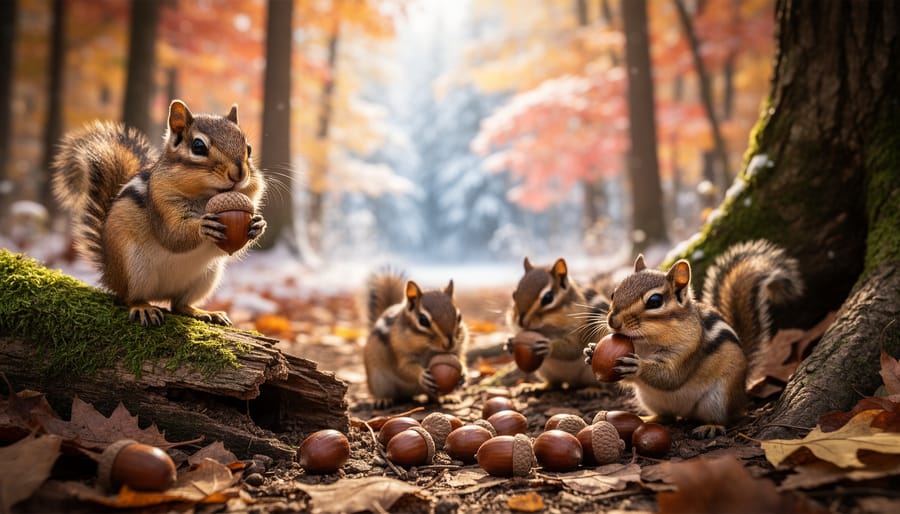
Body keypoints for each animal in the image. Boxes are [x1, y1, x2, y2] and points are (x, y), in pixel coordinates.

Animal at [51, 100, 266, 327]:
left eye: (249, 148)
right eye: (198, 146)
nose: (239, 173)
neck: (206, 196)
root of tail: (109, 274)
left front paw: (258, 225)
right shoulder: (160, 202)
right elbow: (173, 236)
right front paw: (202, 226)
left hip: (206, 278)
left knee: (179, 304)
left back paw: (203, 312)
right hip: (133, 269)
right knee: (130, 297)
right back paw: (143, 308)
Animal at [362, 270, 469, 407]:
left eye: (459, 317)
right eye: (423, 320)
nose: (450, 343)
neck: (428, 348)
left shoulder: (458, 349)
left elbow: (461, 359)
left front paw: (464, 374)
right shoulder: (401, 353)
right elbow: (405, 368)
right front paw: (421, 375)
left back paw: (447, 397)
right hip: (378, 380)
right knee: (381, 393)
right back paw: (382, 400)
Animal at [507, 257, 611, 390]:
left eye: (548, 298)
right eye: (514, 295)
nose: (520, 321)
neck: (547, 328)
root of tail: (571, 381)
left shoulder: (578, 331)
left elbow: (572, 349)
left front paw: (548, 346)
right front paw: (510, 342)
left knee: (596, 384)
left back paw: (592, 390)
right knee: (555, 383)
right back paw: (539, 386)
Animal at [584, 239, 804, 438]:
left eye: (655, 301)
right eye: (614, 293)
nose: (613, 321)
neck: (644, 343)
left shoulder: (689, 350)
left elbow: (671, 377)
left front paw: (638, 366)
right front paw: (591, 352)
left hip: (720, 397)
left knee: (724, 419)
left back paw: (711, 426)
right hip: (649, 398)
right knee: (667, 416)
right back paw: (648, 418)